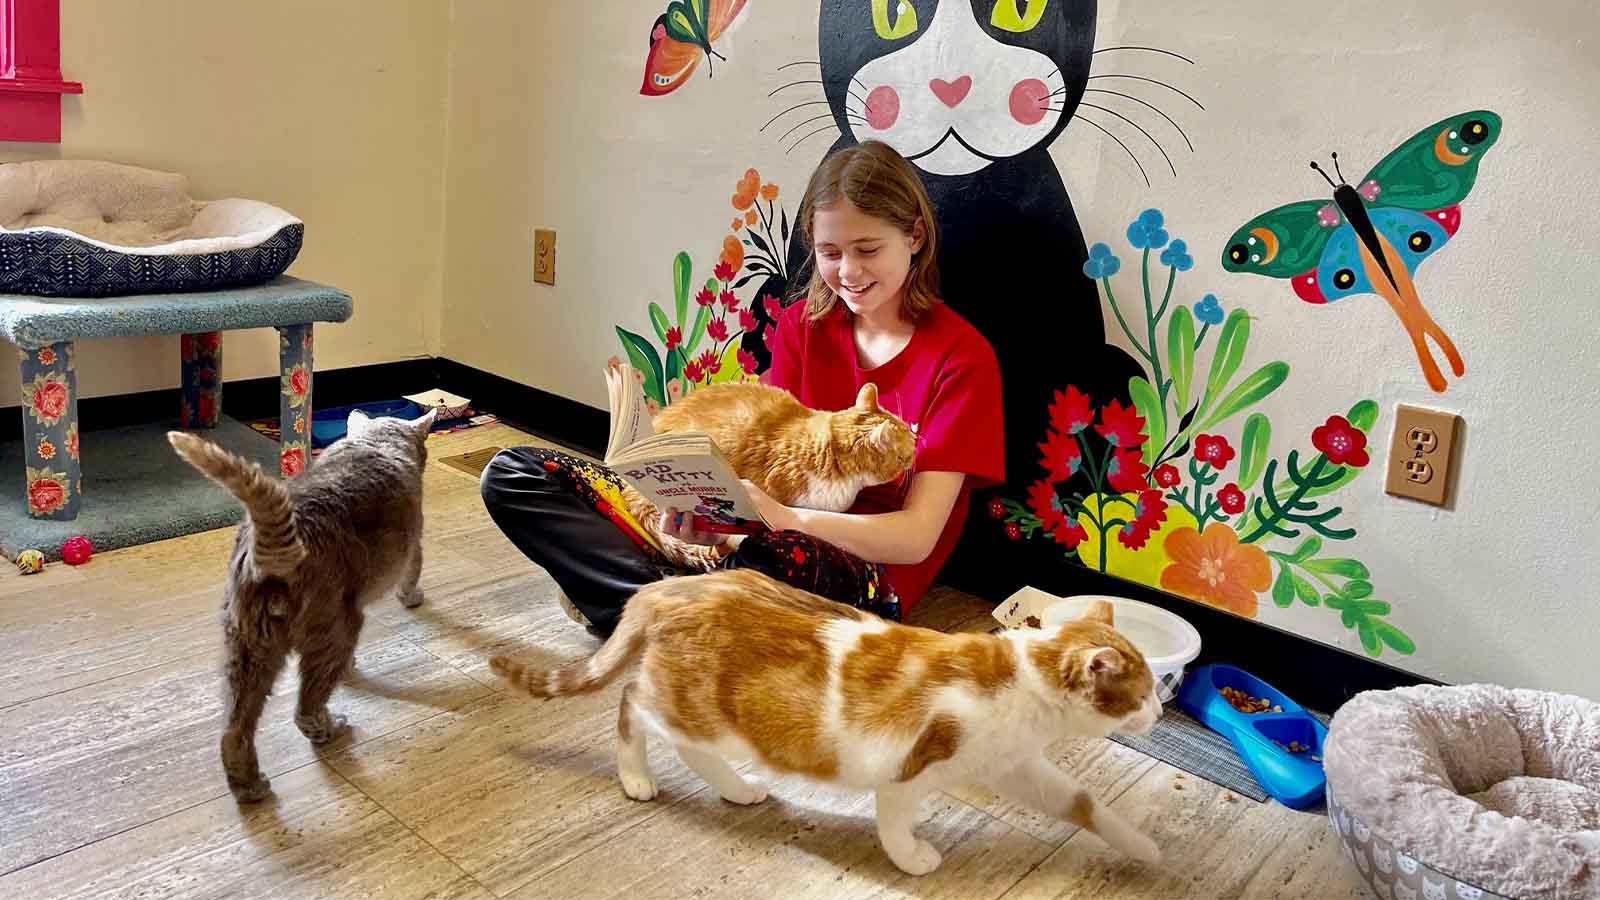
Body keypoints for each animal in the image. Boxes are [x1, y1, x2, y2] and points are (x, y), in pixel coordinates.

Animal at [167, 406, 438, 797]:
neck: (375, 441)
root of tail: (273, 549)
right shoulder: (413, 542)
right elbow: (412, 573)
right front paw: (413, 598)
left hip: (248, 645)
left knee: (234, 730)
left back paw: (249, 786)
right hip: (337, 628)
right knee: (306, 707)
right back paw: (332, 727)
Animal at [486, 570, 1164, 871]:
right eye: (1141, 694)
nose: (1160, 711)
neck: (1019, 682)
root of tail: (673, 583)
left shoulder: (1019, 767)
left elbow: (1083, 804)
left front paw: (1144, 848)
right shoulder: (907, 769)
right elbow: (893, 823)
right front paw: (912, 857)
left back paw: (737, 789)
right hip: (692, 709)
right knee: (630, 703)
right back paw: (637, 777)